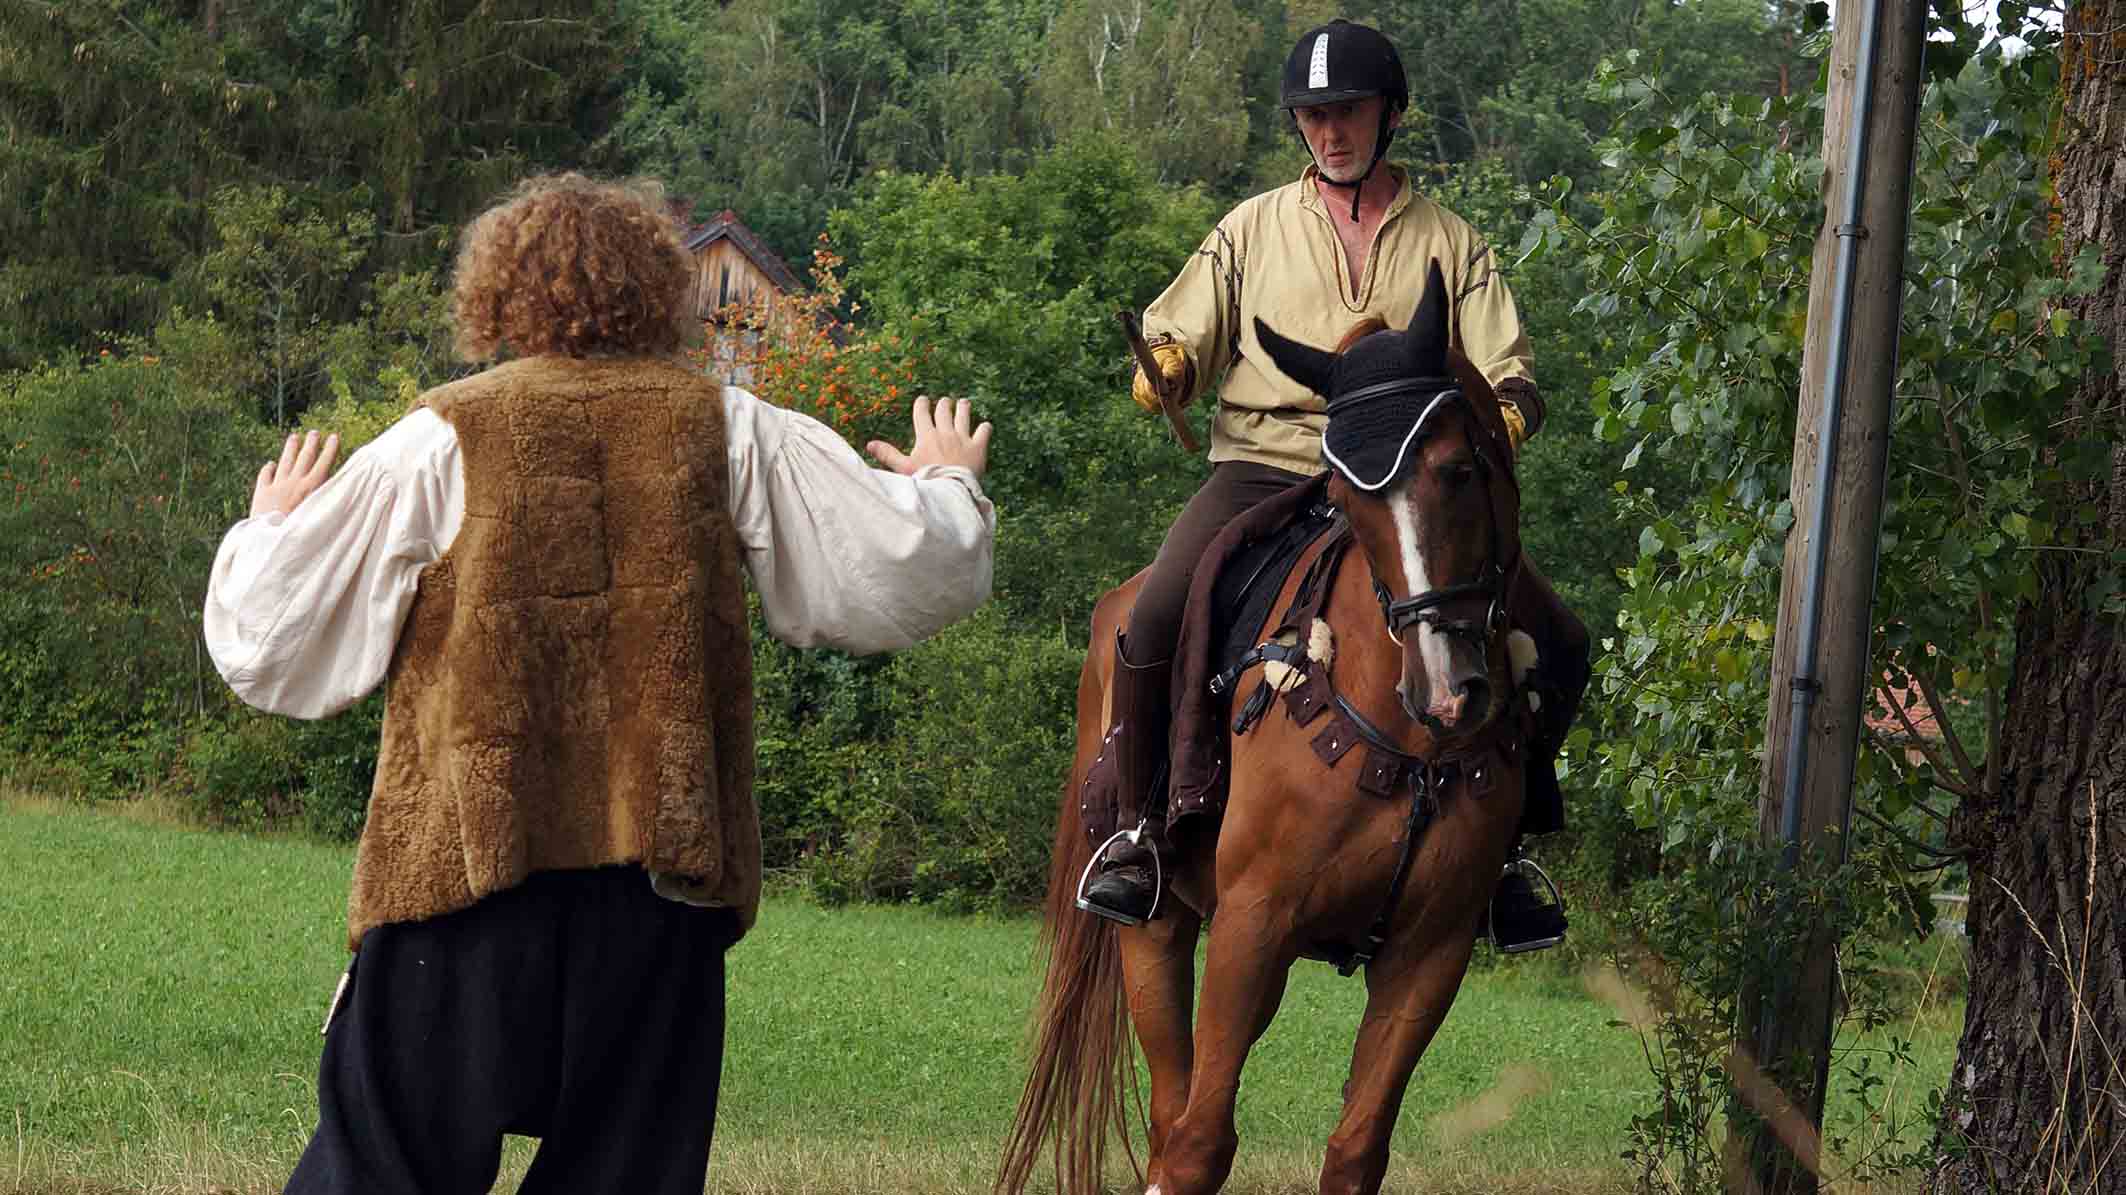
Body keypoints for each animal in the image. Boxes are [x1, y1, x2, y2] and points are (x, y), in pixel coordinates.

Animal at [996, 267, 1539, 1195]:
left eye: (1459, 469)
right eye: (1348, 498)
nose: (1443, 690)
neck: (1408, 742)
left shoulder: (1430, 954)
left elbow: (1356, 1148)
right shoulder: (1252, 928)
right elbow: (1198, 1141)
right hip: (1158, 930)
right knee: (1171, 1109)